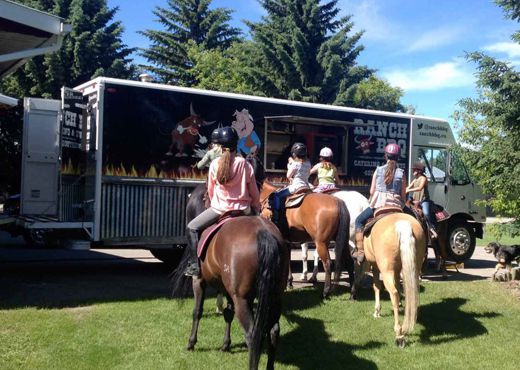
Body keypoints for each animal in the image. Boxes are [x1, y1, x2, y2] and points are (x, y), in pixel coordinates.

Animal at [358, 212, 426, 348]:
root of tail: (402, 224)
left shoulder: (376, 267)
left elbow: (377, 287)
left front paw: (377, 312)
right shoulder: (397, 269)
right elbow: (398, 286)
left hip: (386, 270)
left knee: (393, 293)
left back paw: (399, 334)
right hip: (415, 267)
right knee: (411, 292)